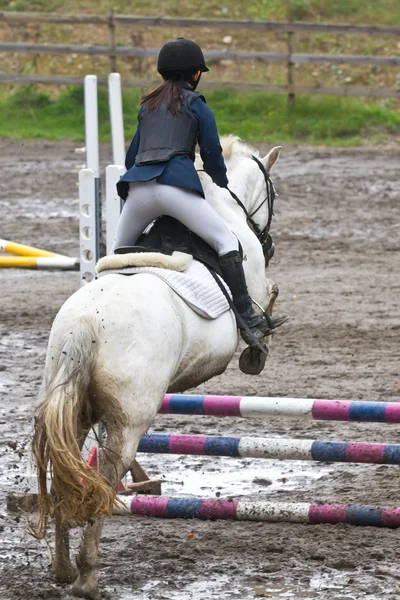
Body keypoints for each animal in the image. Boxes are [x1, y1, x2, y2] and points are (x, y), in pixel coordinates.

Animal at [30, 137, 282, 600]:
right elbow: (265, 305)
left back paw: (61, 568)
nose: (270, 243)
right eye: (272, 192)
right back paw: (87, 576)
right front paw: (256, 351)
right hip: (128, 422)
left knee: (64, 477)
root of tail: (86, 322)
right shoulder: (254, 283)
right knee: (105, 480)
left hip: (73, 411)